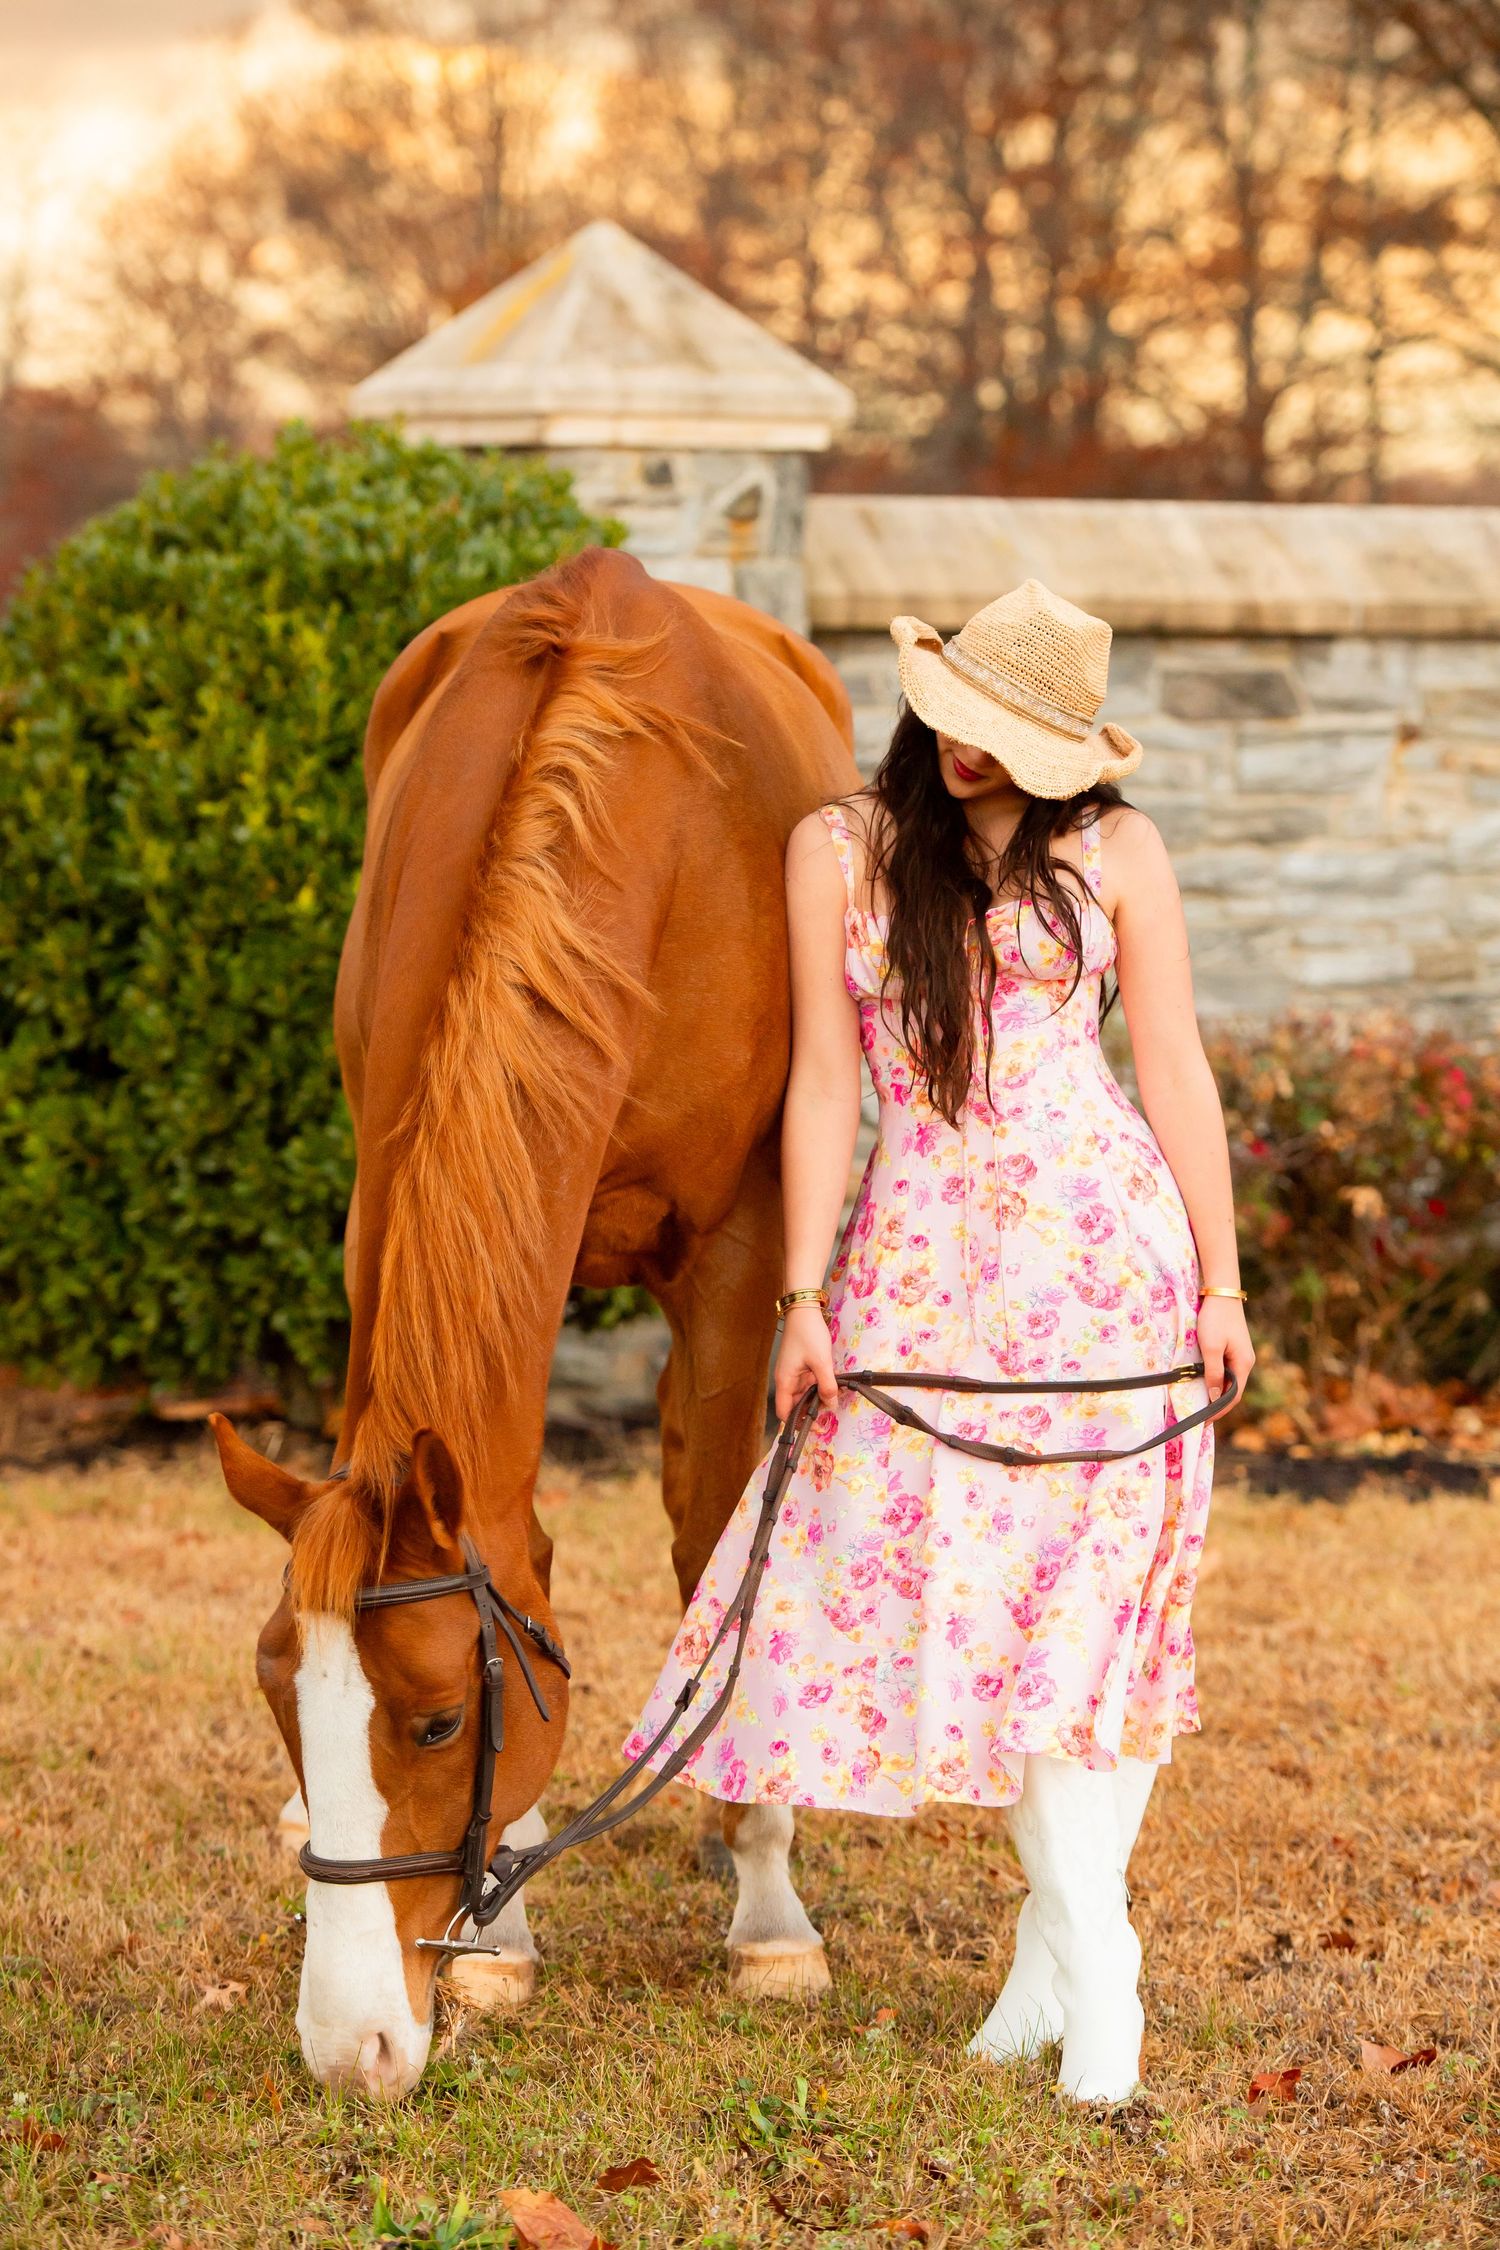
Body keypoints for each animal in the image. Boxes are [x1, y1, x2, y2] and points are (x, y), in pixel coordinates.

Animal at [212, 544, 859, 2096]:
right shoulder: (402, 1190)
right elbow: (525, 1547)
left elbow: (710, 1532)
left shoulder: (742, 1245)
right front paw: (501, 1923)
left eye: (442, 1719)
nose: (352, 2046)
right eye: (277, 1694)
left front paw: (766, 1897)